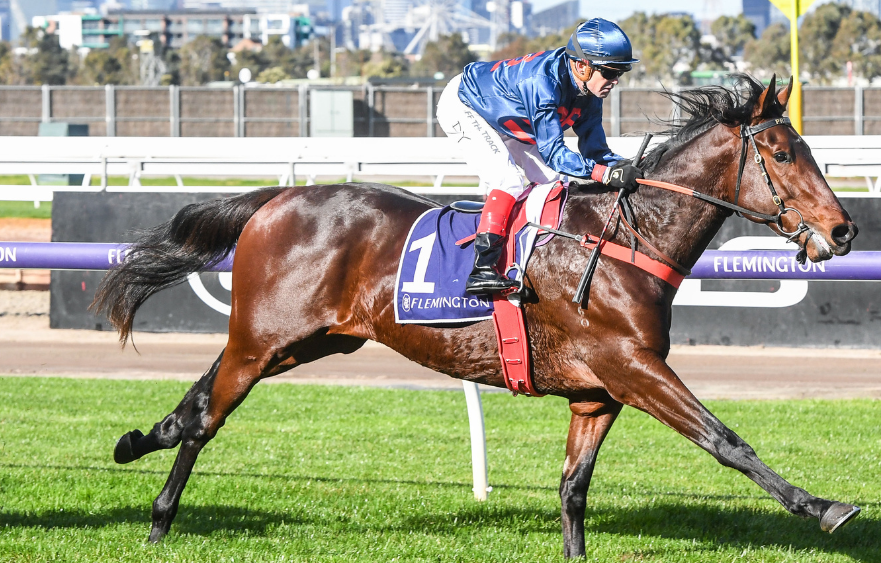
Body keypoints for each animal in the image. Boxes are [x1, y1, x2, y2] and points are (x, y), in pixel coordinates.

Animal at [93, 75, 860, 557]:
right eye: (782, 151)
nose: (844, 229)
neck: (625, 239)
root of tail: (277, 198)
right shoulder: (632, 366)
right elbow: (727, 441)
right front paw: (825, 507)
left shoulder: (598, 392)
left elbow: (572, 489)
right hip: (264, 338)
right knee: (207, 419)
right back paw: (159, 519)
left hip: (307, 341)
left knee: (198, 399)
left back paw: (137, 440)